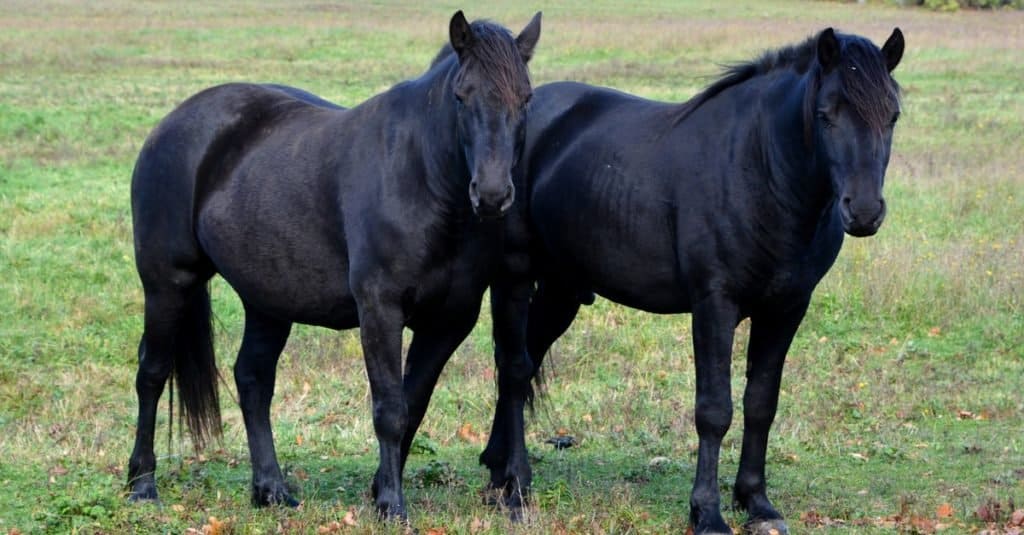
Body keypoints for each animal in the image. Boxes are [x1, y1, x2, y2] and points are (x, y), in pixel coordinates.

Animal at [126, 11, 540, 520]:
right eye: (462, 97)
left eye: (526, 98)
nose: (493, 195)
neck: (422, 177)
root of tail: (171, 125)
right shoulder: (380, 309)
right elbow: (390, 409)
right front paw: (392, 505)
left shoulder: (448, 321)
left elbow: (413, 401)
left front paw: (381, 490)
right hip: (168, 284)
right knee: (152, 373)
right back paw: (142, 484)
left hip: (267, 301)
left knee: (253, 380)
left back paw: (271, 489)